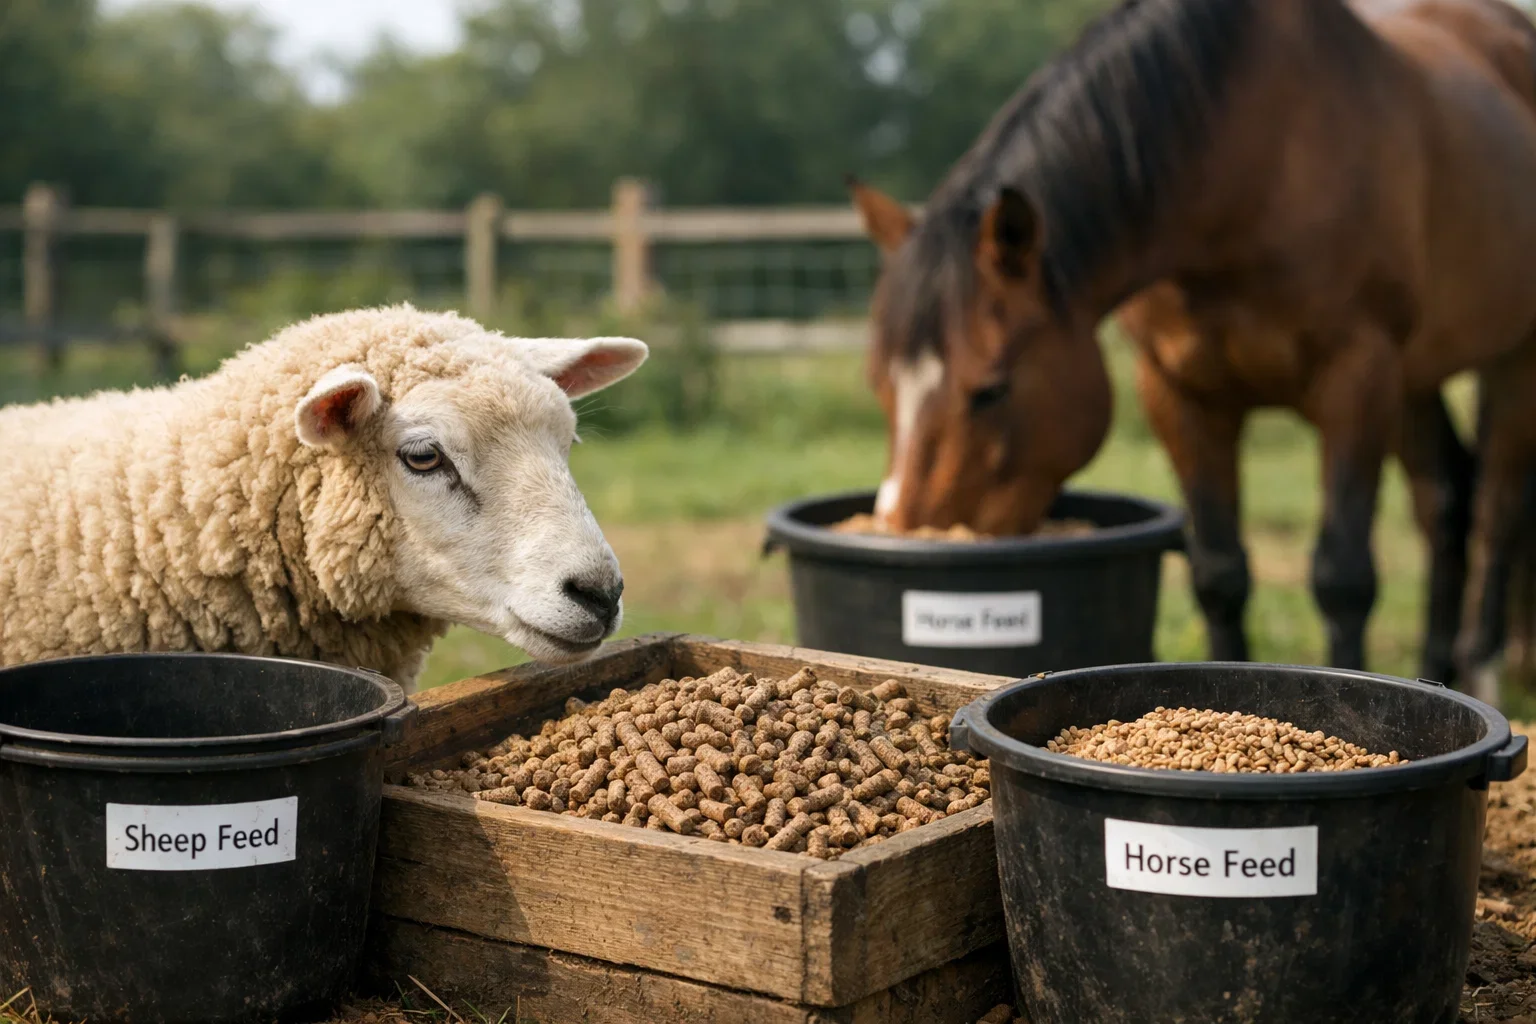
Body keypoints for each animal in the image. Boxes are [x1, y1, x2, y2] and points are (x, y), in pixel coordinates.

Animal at [847, 0, 1536, 702]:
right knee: (1445, 501)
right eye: (881, 386)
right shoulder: (1179, 391)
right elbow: (1220, 576)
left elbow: (1342, 578)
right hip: (1416, 379)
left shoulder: (1358, 376)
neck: (1255, 168)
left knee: (1498, 511)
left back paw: (1483, 672)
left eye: (991, 390)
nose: (908, 527)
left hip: (1509, 362)